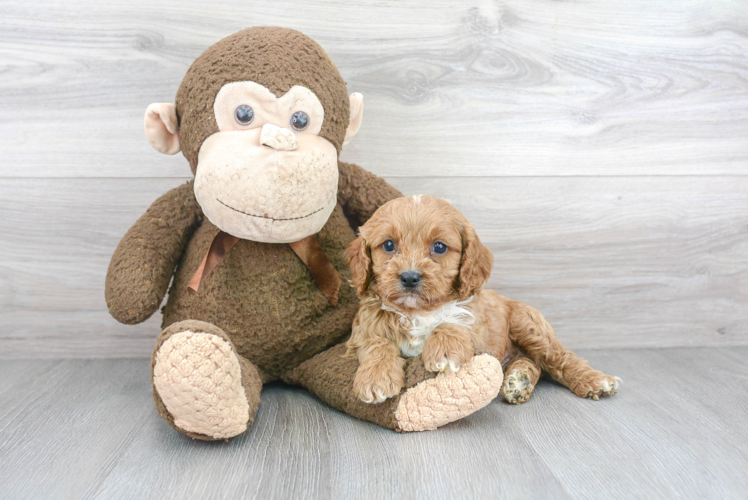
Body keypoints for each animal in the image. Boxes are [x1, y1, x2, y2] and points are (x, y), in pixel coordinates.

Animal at [344, 195, 620, 406]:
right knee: (534, 362)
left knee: (558, 358)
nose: (410, 277)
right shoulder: (361, 333)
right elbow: (377, 344)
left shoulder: (478, 329)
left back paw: (594, 380)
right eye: (388, 245)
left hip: (527, 324)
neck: (417, 312)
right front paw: (376, 378)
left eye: (439, 247)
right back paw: (519, 381)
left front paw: (445, 350)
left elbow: (452, 322)